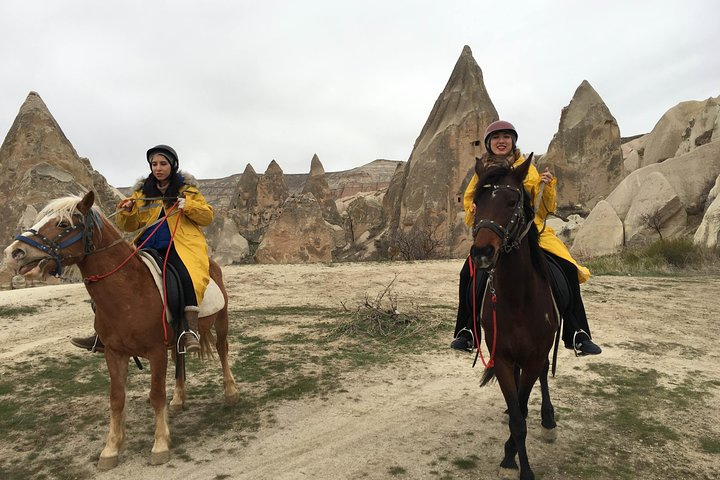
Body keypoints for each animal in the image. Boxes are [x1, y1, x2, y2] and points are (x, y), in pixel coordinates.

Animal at [2, 190, 239, 468]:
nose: (14, 251)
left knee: (223, 350)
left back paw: (230, 392)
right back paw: (179, 398)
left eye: (62, 224)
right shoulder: (114, 353)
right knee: (179, 358)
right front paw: (111, 448)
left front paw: (160, 444)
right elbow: (116, 398)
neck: (129, 293)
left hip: (221, 321)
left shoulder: (156, 351)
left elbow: (156, 394)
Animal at [470, 155, 560, 480]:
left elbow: (523, 406)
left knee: (544, 373)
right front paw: (512, 456)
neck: (518, 299)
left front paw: (521, 465)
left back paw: (548, 420)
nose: (482, 252)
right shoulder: (503, 359)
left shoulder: (534, 357)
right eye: (476, 203)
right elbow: (518, 419)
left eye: (511, 201)